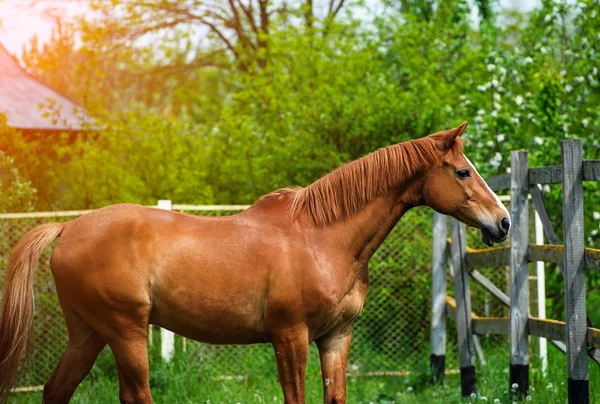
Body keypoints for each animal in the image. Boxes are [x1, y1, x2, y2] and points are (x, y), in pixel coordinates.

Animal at [0, 124, 510, 404]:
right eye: (463, 172)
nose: (503, 222)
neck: (322, 237)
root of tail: (68, 229)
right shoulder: (290, 337)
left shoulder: (335, 338)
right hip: (125, 330)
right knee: (135, 394)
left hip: (88, 333)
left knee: (57, 390)